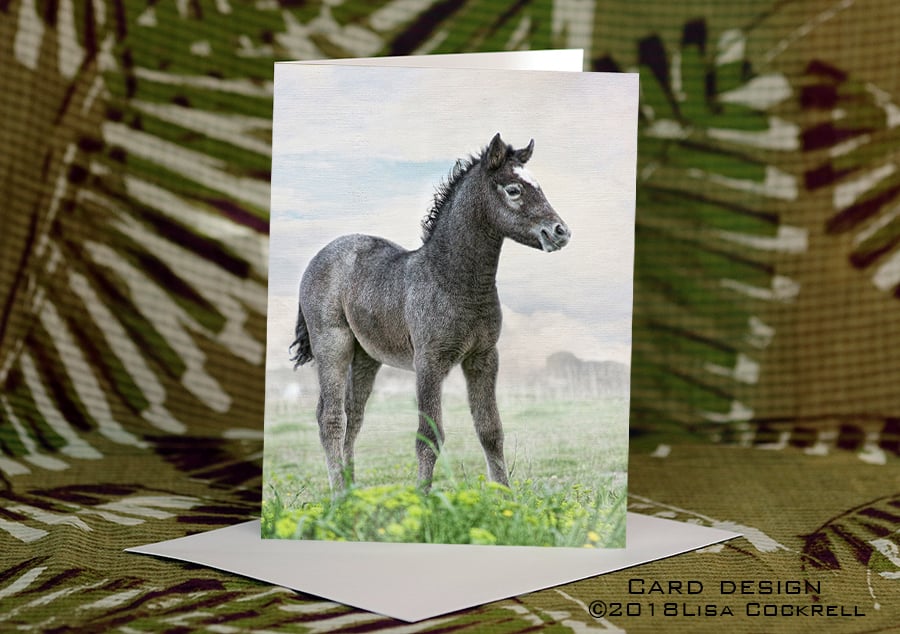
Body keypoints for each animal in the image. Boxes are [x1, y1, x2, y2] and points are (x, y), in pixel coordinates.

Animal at [290, 133, 571, 492]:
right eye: (513, 190)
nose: (560, 231)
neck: (453, 281)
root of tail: (319, 258)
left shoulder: (484, 357)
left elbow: (491, 430)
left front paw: (505, 497)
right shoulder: (428, 363)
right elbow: (428, 436)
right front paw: (422, 499)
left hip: (365, 356)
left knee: (354, 414)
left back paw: (353, 491)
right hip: (332, 344)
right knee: (331, 417)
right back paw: (339, 495)